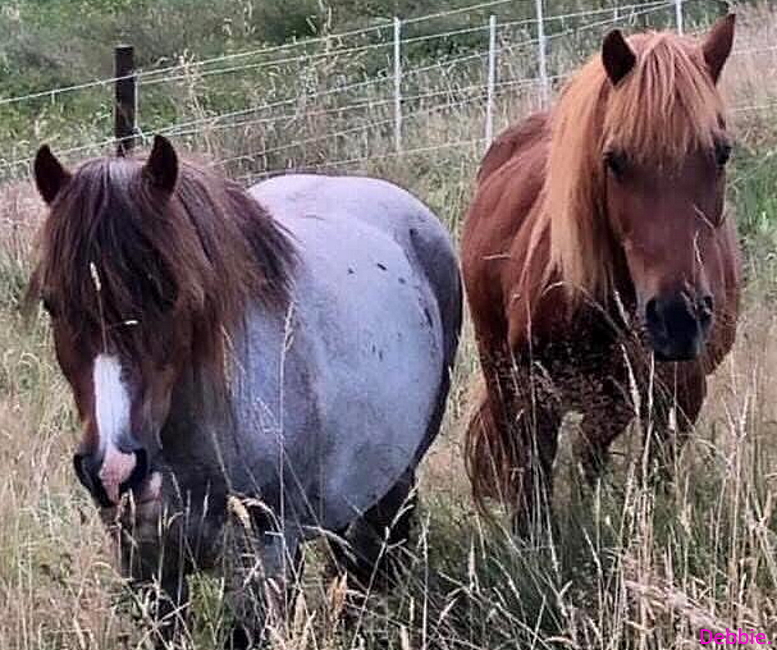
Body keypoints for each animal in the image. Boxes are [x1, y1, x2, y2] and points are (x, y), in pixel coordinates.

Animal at [27, 135, 462, 647]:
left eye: (168, 294)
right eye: (53, 303)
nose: (114, 470)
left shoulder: (264, 559)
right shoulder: (148, 566)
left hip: (393, 482)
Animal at [461, 15, 741, 533]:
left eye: (721, 153)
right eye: (615, 160)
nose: (678, 318)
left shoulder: (677, 400)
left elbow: (636, 471)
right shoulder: (533, 391)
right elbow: (534, 484)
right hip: (498, 365)